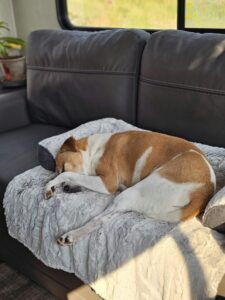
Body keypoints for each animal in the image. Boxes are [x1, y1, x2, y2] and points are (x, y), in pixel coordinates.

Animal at [44, 130, 216, 245]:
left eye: (63, 167)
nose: (65, 189)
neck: (94, 150)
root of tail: (202, 193)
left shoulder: (108, 183)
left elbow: (70, 175)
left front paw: (50, 185)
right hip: (127, 199)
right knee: (105, 218)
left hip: (131, 192)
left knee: (98, 219)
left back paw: (72, 234)